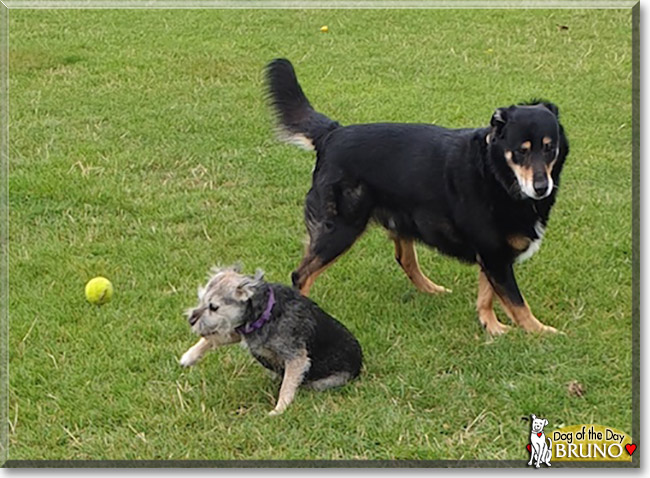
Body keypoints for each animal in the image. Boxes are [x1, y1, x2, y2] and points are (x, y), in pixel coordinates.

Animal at [180, 266, 362, 414]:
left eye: (214, 307)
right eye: (201, 299)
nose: (190, 320)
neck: (265, 313)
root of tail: (360, 363)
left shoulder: (296, 358)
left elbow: (287, 386)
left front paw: (279, 409)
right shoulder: (237, 331)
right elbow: (212, 339)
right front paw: (189, 356)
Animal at [264, 58, 568, 336]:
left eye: (549, 148)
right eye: (521, 151)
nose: (541, 187)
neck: (495, 173)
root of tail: (332, 134)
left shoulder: (493, 254)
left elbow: (487, 294)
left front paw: (491, 327)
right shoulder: (495, 256)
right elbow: (517, 302)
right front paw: (541, 332)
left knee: (405, 260)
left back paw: (432, 289)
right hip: (340, 228)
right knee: (301, 275)